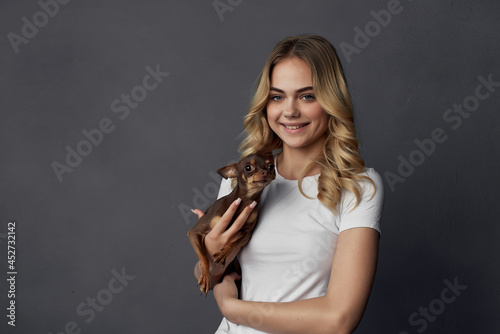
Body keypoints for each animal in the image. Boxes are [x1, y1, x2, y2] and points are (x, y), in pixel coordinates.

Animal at [187, 153, 276, 294]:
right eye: (248, 167)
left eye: (271, 166)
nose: (265, 172)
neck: (246, 200)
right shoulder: (194, 232)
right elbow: (204, 257)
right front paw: (205, 277)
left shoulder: (247, 234)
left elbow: (233, 243)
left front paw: (223, 253)